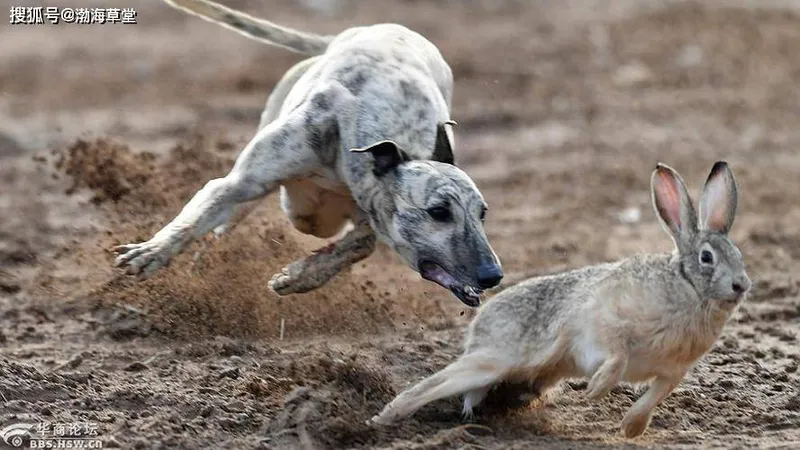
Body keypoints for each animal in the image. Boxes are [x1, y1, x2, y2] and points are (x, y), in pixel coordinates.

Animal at [111, 0, 504, 306]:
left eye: (482, 213)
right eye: (438, 212)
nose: (493, 275)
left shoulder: (371, 211)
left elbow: (360, 244)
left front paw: (300, 275)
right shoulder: (243, 181)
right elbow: (197, 218)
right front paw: (151, 252)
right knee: (224, 224)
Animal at [372, 163, 748, 440]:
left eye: (739, 256)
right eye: (707, 258)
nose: (741, 285)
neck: (688, 289)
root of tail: (479, 324)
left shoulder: (671, 372)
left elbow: (655, 395)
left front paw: (631, 428)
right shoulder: (603, 324)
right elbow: (617, 358)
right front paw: (595, 390)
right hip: (491, 359)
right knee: (429, 386)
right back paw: (380, 420)